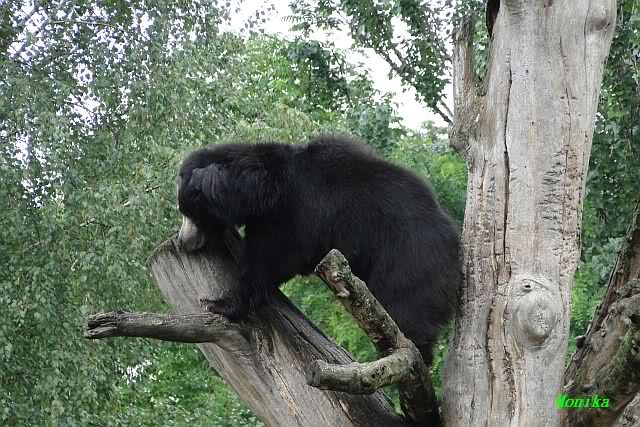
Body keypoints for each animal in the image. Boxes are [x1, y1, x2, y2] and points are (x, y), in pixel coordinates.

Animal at [176, 135, 462, 363]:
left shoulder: (295, 215)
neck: (263, 190)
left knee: (405, 305)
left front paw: (219, 304)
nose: (183, 242)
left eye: (191, 213)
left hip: (409, 258)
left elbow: (268, 260)